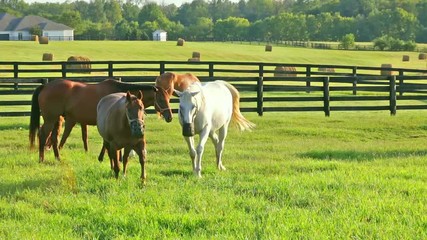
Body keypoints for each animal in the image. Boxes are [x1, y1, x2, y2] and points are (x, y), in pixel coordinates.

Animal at [29, 78, 173, 162]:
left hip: (56, 119)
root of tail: (45, 86)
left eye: (168, 98)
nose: (169, 116)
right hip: (50, 119)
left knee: (53, 137)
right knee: (43, 134)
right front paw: (104, 157)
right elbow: (106, 143)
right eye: (160, 99)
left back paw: (57, 157)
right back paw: (41, 159)